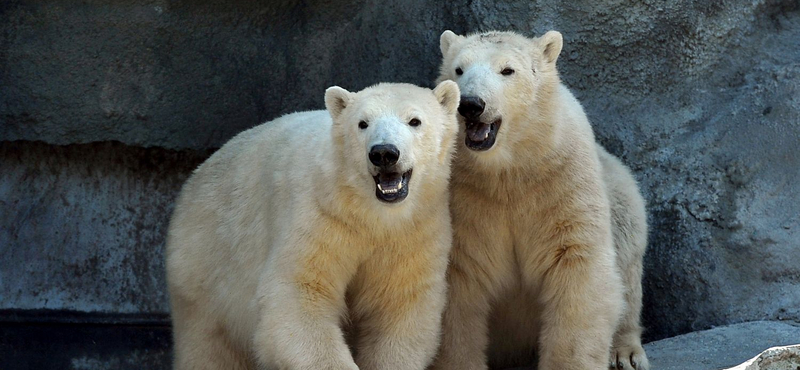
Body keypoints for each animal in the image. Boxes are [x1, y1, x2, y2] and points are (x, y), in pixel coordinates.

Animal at [166, 81, 460, 370]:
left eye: (414, 121)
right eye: (362, 123)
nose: (384, 153)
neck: (371, 212)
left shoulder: (414, 230)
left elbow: (399, 304)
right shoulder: (320, 215)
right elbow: (300, 293)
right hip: (205, 270)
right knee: (208, 348)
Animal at [432, 31, 648, 370]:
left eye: (507, 70)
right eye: (458, 70)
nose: (471, 104)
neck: (508, 169)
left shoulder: (562, 181)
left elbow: (578, 265)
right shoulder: (464, 198)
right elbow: (460, 280)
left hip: (618, 191)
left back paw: (624, 352)